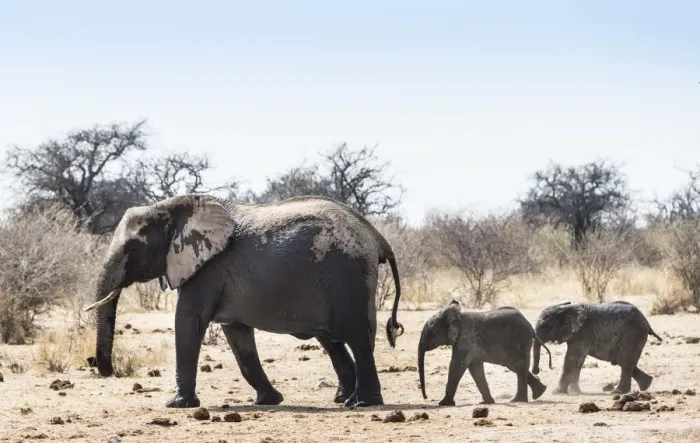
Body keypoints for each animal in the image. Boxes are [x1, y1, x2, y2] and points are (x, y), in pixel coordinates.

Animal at [84, 194, 405, 409]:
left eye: (132, 248)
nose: (102, 367)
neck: (169, 208)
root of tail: (377, 237)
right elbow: (238, 337)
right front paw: (269, 401)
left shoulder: (208, 268)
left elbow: (188, 321)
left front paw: (177, 405)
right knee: (332, 340)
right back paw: (343, 399)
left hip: (350, 276)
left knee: (358, 337)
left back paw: (364, 403)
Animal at [418, 301, 552, 406]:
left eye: (430, 333)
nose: (426, 397)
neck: (456, 317)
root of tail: (530, 326)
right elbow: (475, 368)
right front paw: (486, 402)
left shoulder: (464, 340)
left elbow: (457, 365)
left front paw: (443, 404)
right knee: (517, 367)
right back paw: (539, 392)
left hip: (520, 340)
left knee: (518, 366)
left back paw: (518, 401)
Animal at [532, 300, 662, 394]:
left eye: (545, 327)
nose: (536, 371)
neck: (565, 309)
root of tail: (646, 321)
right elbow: (577, 361)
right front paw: (575, 392)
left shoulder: (582, 333)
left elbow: (572, 359)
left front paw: (557, 392)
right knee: (624, 361)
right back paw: (646, 385)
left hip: (633, 334)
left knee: (623, 361)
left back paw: (618, 392)